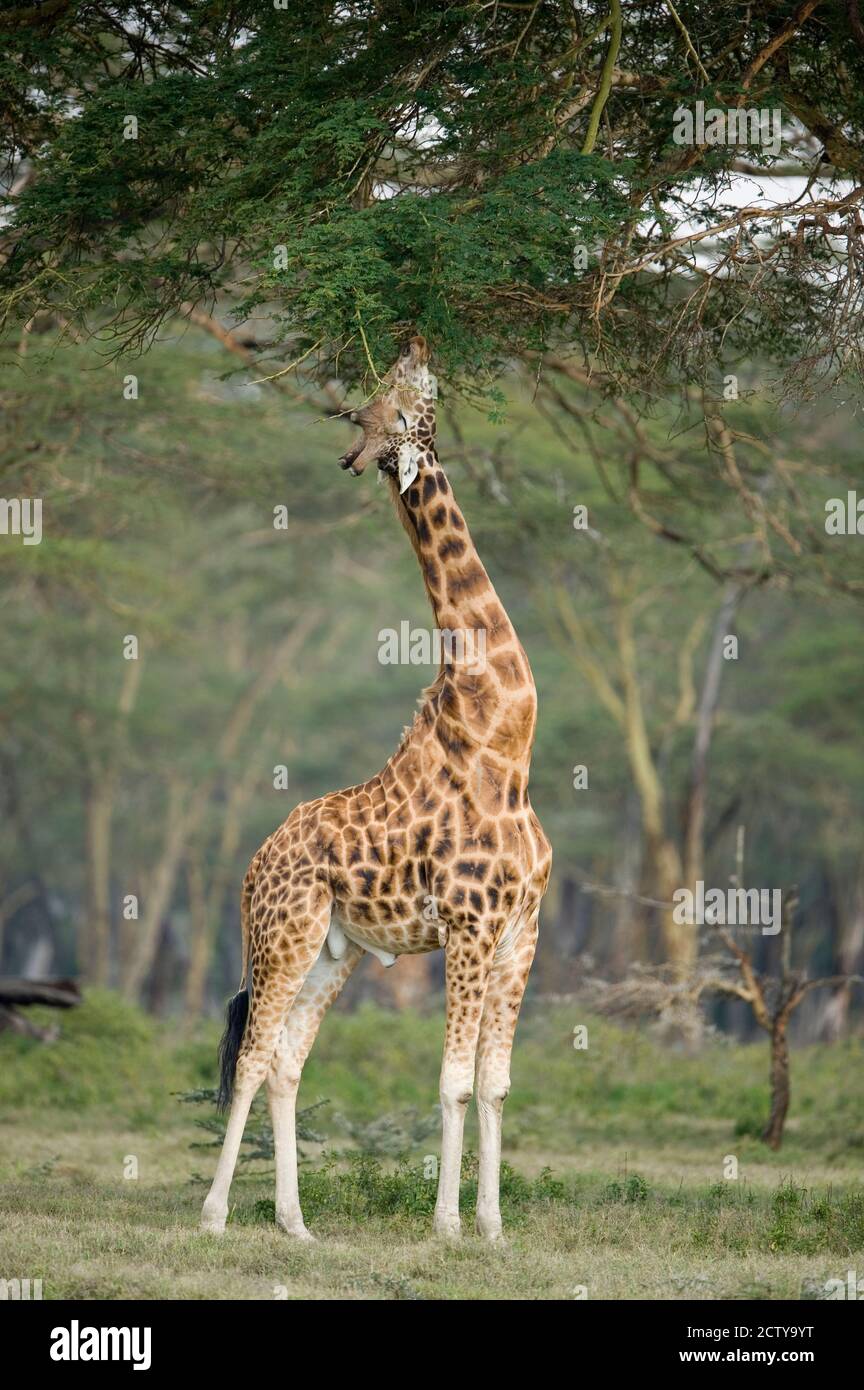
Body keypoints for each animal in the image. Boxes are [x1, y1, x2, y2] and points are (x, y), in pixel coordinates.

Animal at [202, 333, 552, 1239]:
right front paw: (448, 1226)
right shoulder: (468, 927)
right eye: (391, 401)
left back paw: (295, 1223)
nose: (420, 341)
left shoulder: (520, 934)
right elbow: (453, 1083)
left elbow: (496, 1086)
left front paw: (494, 1229)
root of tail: (252, 865)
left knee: (286, 1059)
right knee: (251, 1054)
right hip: (283, 935)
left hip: (335, 950)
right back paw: (216, 1214)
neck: (506, 747)